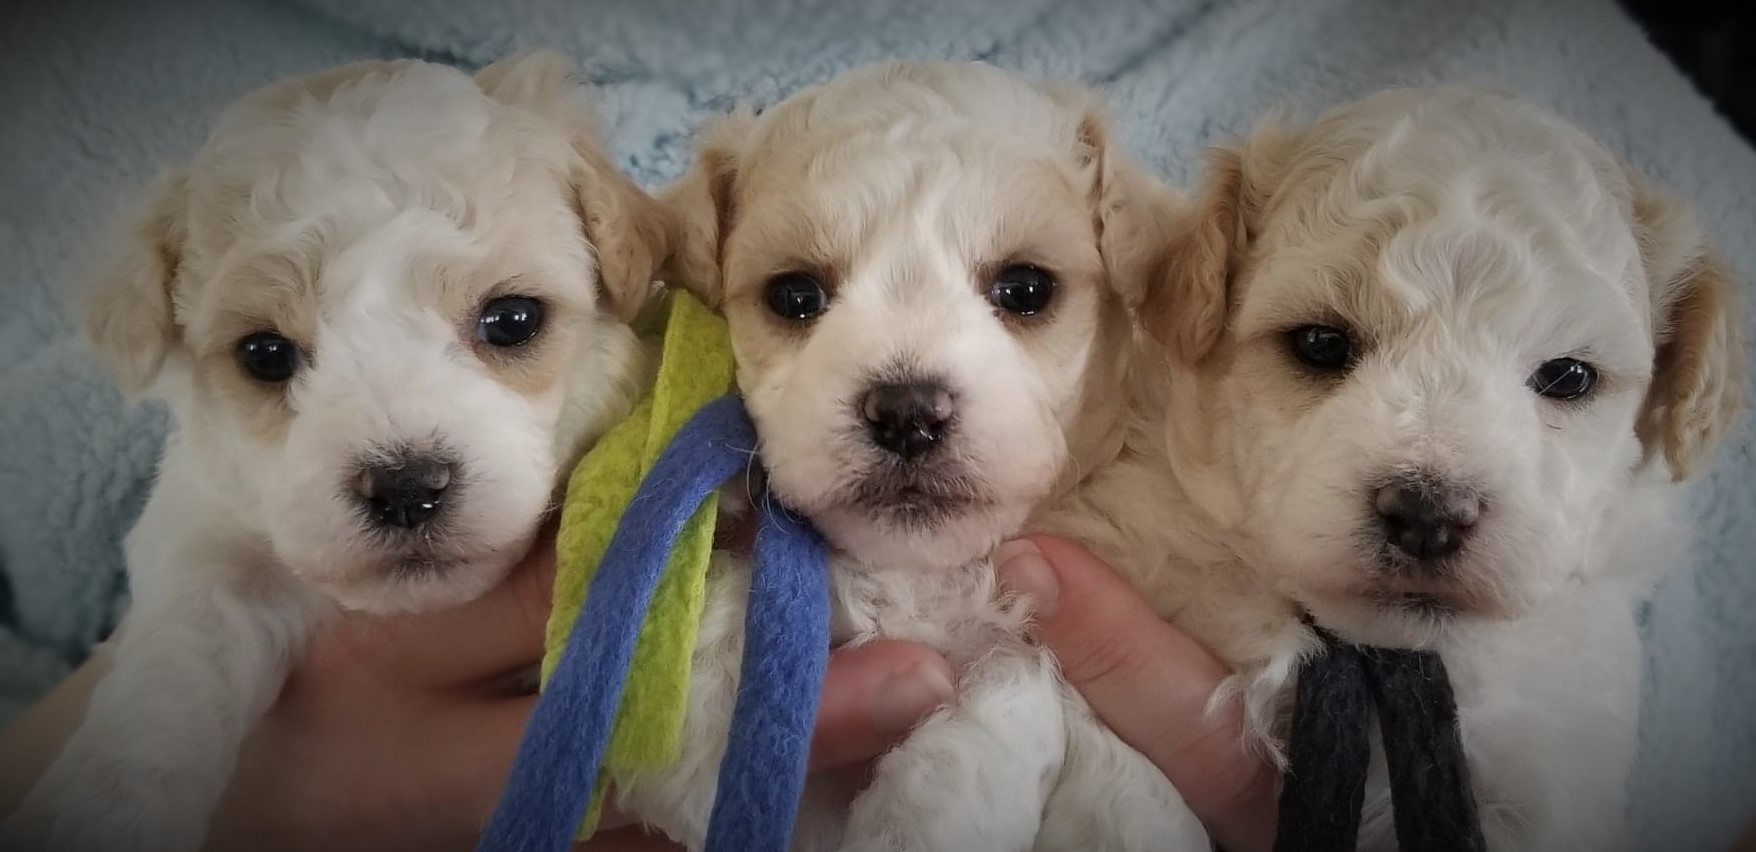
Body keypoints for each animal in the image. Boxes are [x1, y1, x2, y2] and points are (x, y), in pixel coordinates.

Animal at [1, 53, 663, 850]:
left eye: (512, 319)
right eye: (264, 354)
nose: (407, 487)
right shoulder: (210, 532)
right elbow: (180, 655)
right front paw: (104, 807)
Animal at [614, 61, 1208, 850]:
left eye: (1026, 288)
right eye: (794, 295)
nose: (906, 414)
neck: (926, 575)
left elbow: (1027, 680)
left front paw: (922, 816)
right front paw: (683, 736)